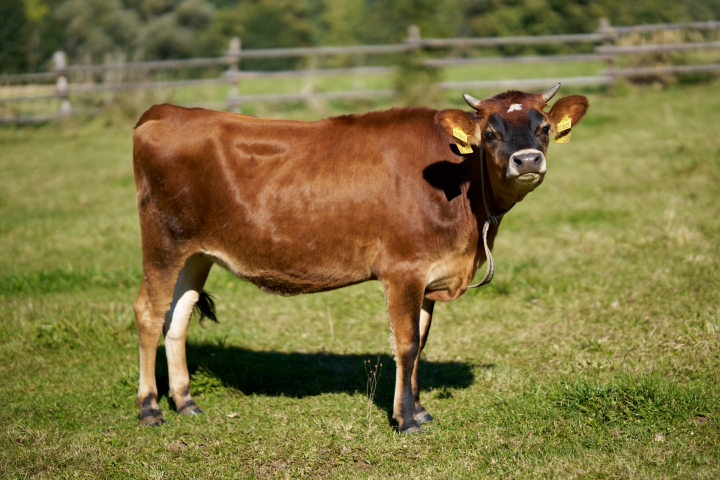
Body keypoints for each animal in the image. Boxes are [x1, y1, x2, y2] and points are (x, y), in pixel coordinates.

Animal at [131, 84, 589, 433]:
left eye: (544, 128)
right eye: (491, 133)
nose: (527, 160)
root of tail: (166, 110)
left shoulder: (431, 274)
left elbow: (422, 342)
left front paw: (419, 408)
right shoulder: (403, 270)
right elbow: (405, 343)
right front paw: (406, 420)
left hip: (196, 253)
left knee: (178, 315)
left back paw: (185, 401)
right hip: (162, 241)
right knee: (149, 313)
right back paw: (150, 408)